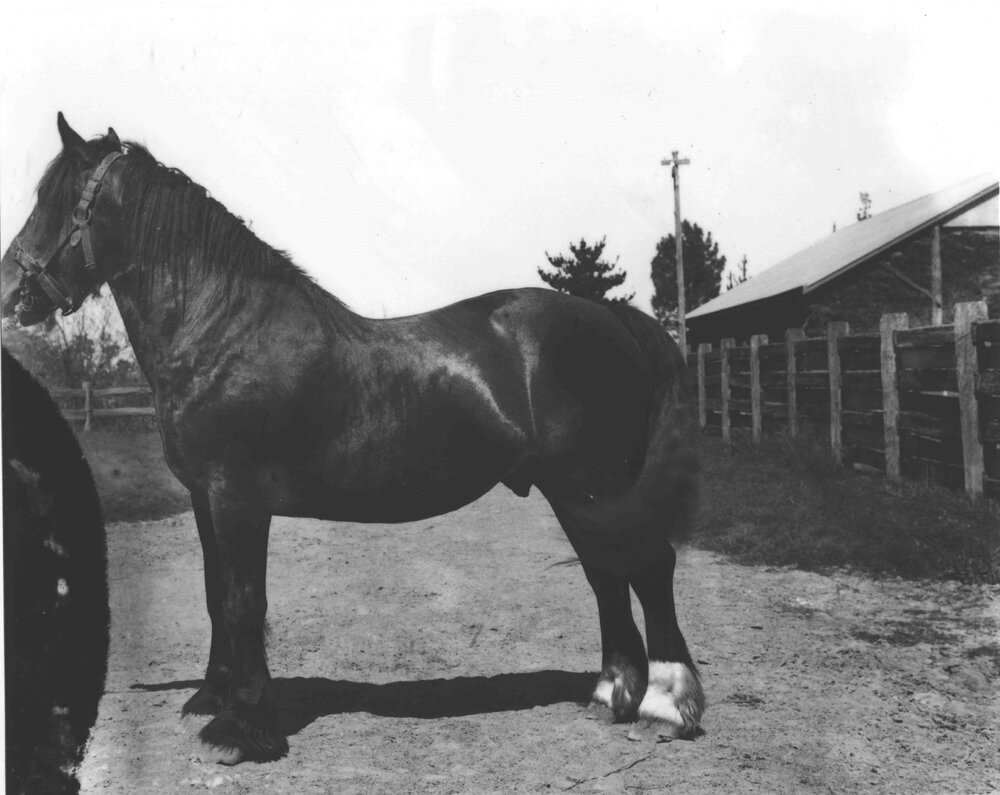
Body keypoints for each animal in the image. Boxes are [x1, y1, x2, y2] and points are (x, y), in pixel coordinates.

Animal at [0, 113, 703, 764]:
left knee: (648, 567)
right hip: (574, 491)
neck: (224, 328)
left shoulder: (237, 498)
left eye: (57, 200)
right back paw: (612, 696)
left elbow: (243, 601)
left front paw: (245, 729)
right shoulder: (205, 499)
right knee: (607, 572)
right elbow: (214, 595)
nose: (11, 293)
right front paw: (213, 698)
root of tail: (612, 316)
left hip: (595, 483)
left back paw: (666, 707)